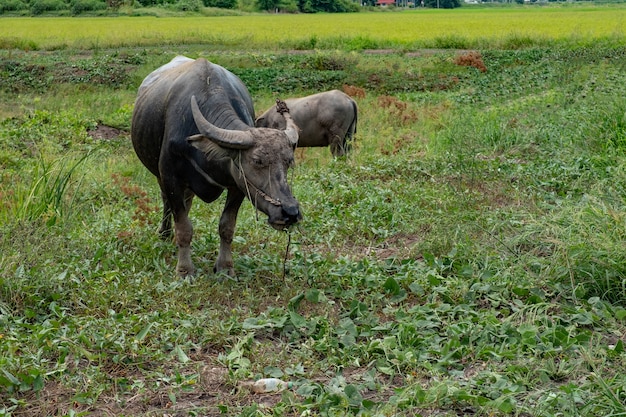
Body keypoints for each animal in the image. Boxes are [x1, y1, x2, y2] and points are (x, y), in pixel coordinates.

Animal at [130, 55, 302, 276]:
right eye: (257, 161)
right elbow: (184, 227)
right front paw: (184, 270)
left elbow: (226, 226)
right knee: (166, 202)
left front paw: (225, 267)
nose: (290, 213)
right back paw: (165, 233)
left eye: (288, 162)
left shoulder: (238, 185)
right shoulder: (170, 177)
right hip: (160, 176)